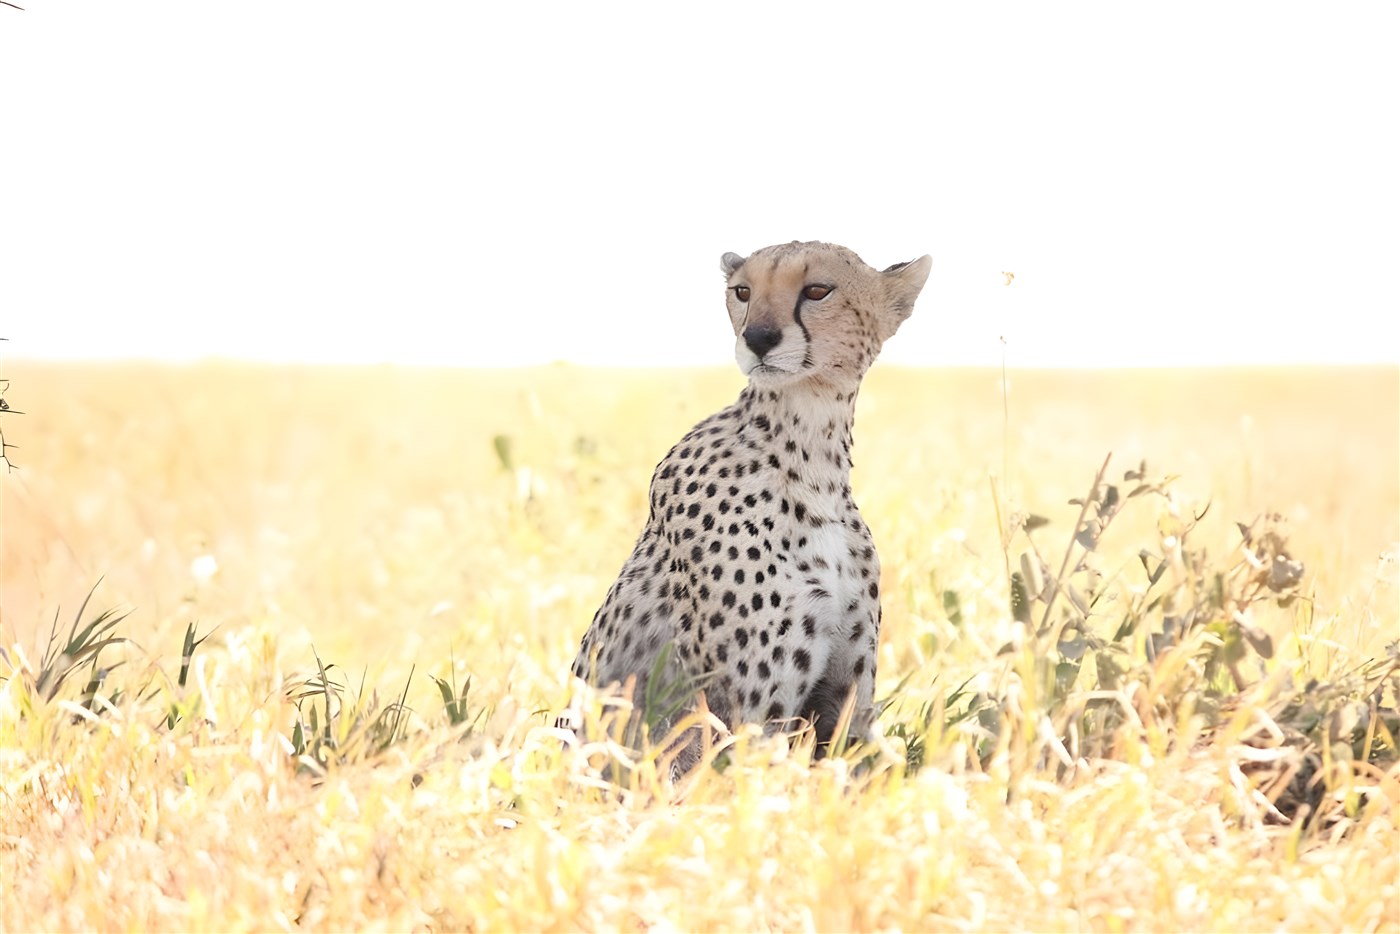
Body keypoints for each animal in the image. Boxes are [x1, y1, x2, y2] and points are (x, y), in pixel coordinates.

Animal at [570, 240, 931, 760]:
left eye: (817, 291)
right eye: (742, 291)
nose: (758, 338)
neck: (811, 455)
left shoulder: (845, 708)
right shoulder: (753, 718)